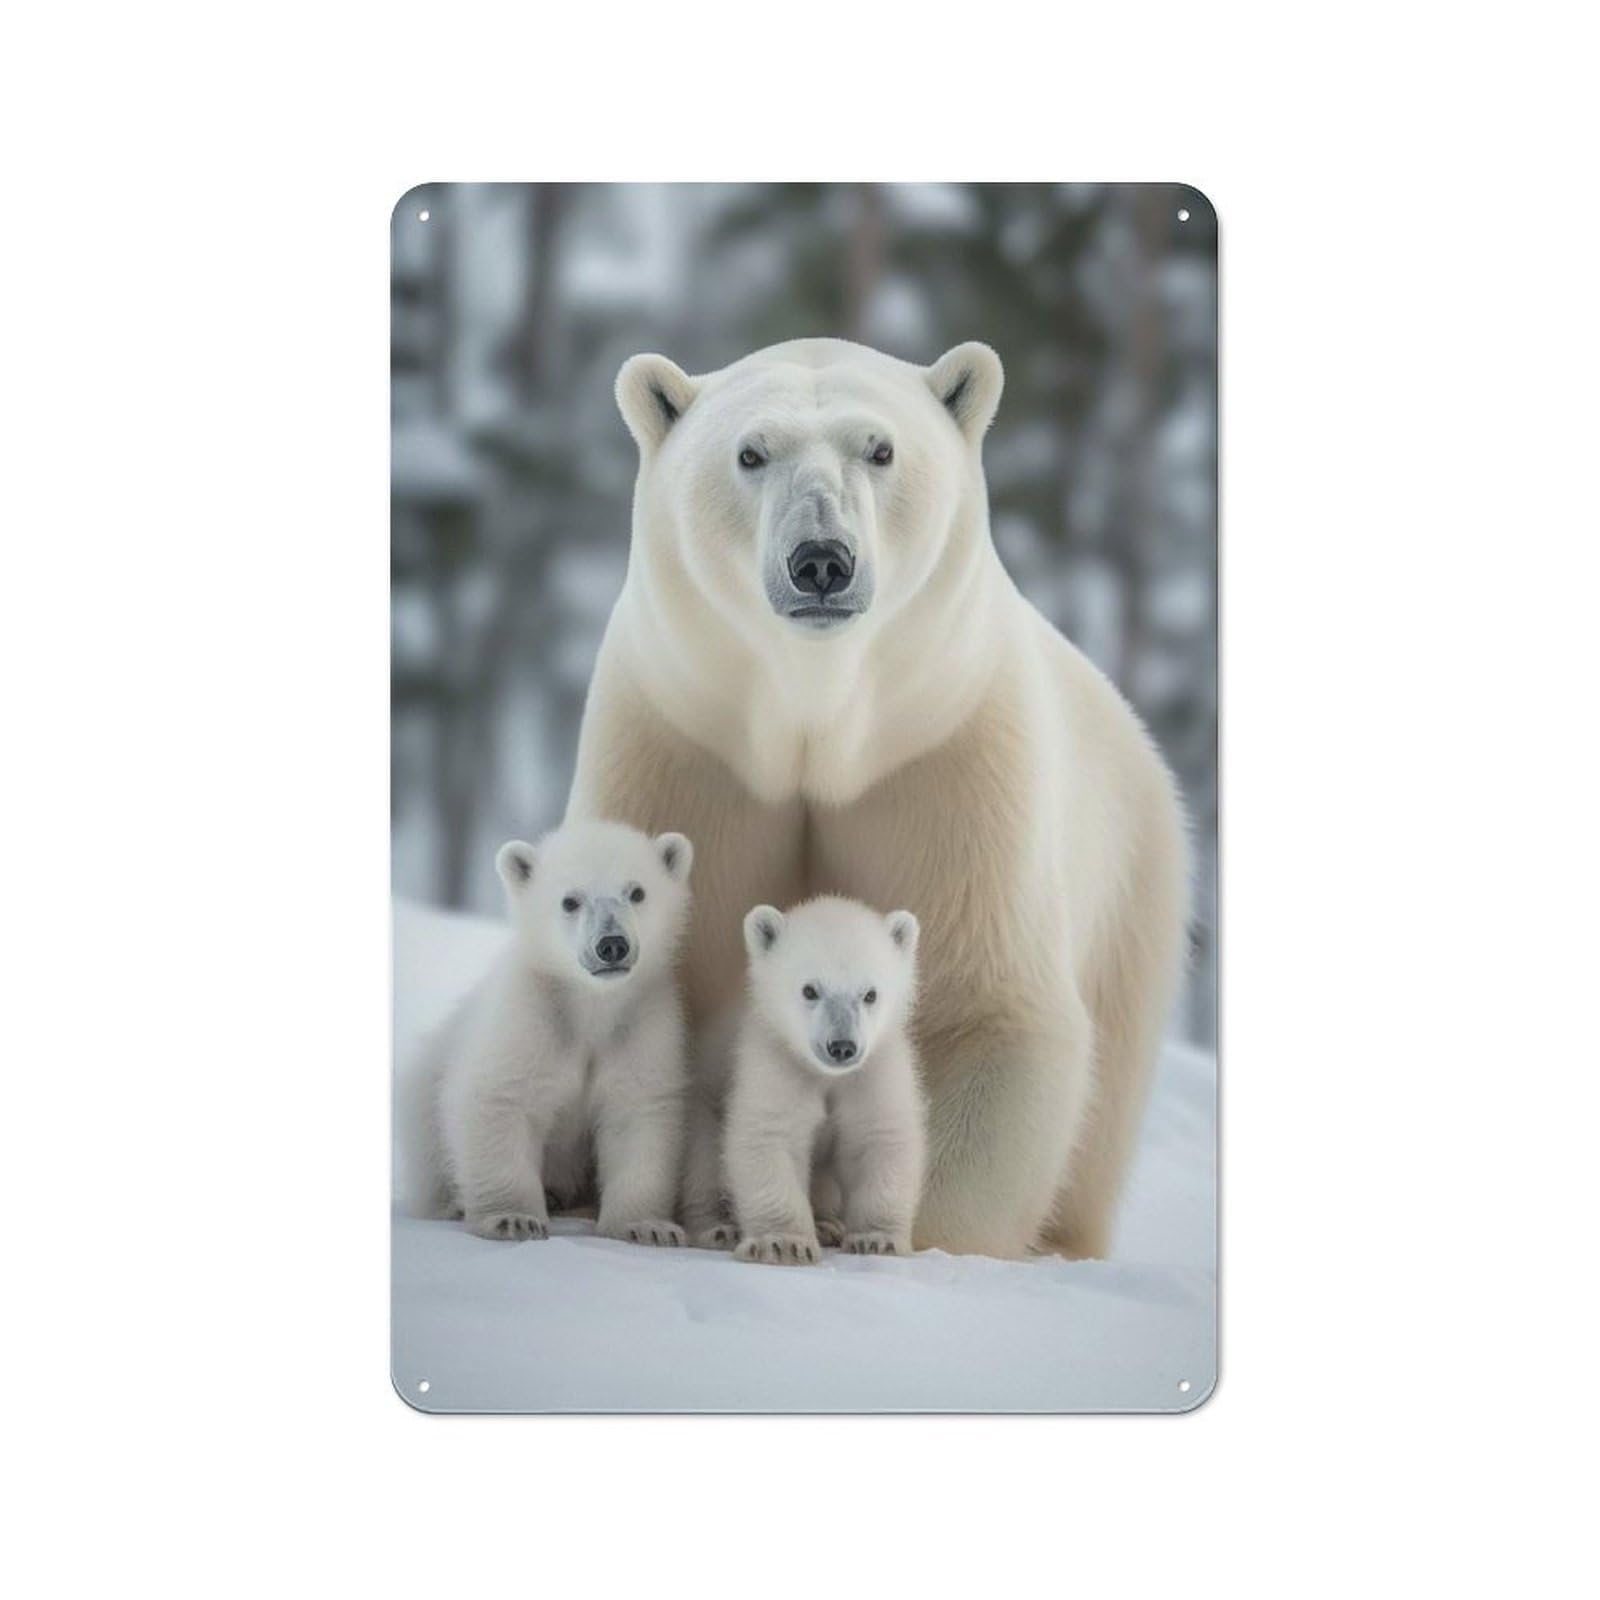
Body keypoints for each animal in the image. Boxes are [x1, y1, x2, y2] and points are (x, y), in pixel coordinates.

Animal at [397, 819, 694, 1245]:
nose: (612, 945)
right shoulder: (529, 1019)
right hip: (425, 1084)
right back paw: (452, 1204)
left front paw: (646, 1226)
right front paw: (512, 1218)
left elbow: (636, 1115)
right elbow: (500, 1098)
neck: (590, 1008)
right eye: (570, 901)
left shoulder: (639, 1025)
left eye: (637, 892)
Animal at [724, 897, 926, 1267]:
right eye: (810, 990)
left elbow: (880, 1137)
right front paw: (783, 1243)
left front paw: (877, 1239)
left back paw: (827, 1225)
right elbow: (770, 1136)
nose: (842, 1046)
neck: (828, 1075)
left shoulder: (872, 1074)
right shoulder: (778, 1065)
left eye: (870, 994)